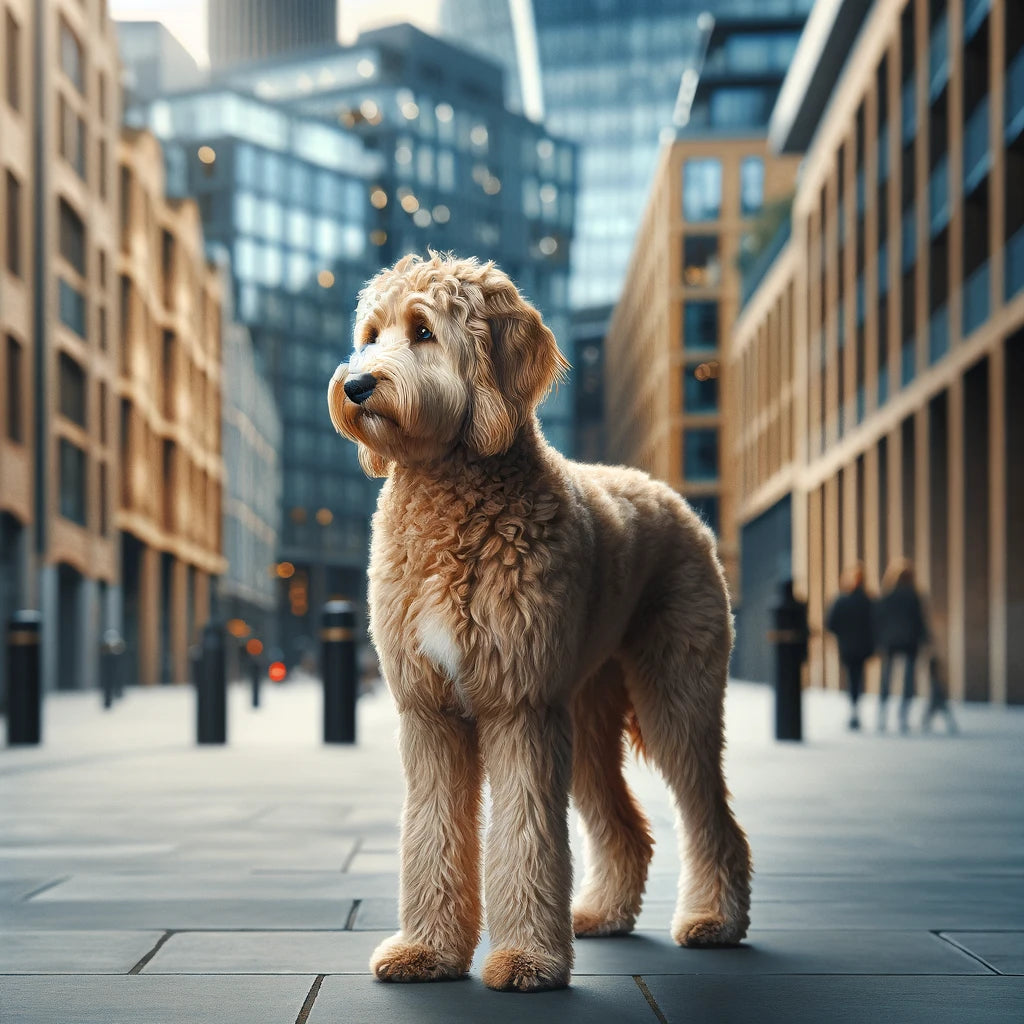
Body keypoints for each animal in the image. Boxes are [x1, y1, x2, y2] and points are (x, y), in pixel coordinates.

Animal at [329, 251, 753, 987]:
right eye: (371, 332)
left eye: (423, 331)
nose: (355, 385)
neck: (449, 495)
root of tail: (672, 496)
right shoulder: (429, 711)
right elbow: (432, 828)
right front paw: (427, 951)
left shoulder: (520, 705)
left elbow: (527, 835)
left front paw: (527, 958)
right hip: (584, 713)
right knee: (625, 826)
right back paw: (603, 914)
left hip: (675, 694)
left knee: (709, 814)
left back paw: (713, 921)